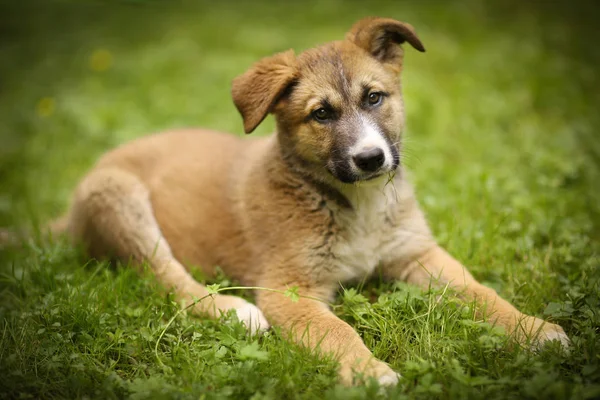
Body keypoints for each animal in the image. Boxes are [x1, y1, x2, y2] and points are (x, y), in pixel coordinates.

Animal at [29, 17, 568, 386]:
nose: (370, 158)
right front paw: (368, 373)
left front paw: (532, 330)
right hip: (118, 198)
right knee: (163, 275)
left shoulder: (418, 254)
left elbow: (481, 292)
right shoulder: (288, 291)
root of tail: (66, 216)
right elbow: (338, 332)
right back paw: (234, 311)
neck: (355, 205)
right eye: (321, 114)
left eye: (375, 98)